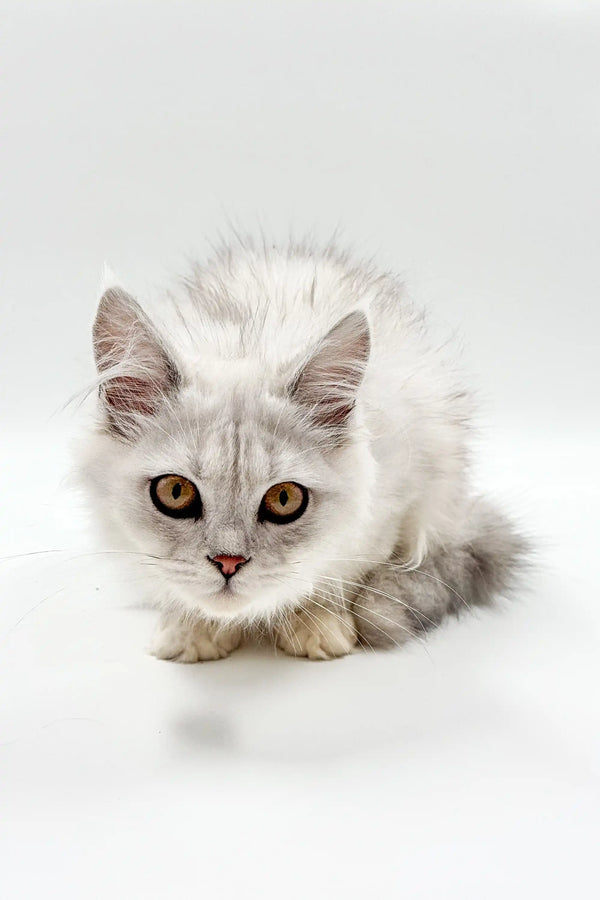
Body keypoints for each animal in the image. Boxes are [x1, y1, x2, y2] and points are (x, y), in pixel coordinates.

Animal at [81, 239, 524, 660]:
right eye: (175, 492)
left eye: (284, 499)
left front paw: (316, 626)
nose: (229, 563)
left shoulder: (392, 508)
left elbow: (334, 579)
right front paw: (192, 629)